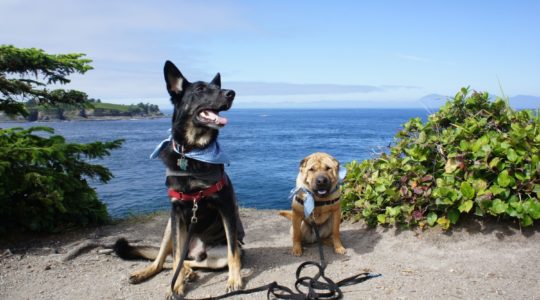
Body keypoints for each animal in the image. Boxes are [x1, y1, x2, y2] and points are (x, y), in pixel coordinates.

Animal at [117, 61, 246, 298]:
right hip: (170, 226)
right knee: (167, 259)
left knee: (194, 262)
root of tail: (196, 250)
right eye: (200, 89)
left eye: (217, 87)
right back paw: (154, 273)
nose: (231, 93)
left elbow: (234, 253)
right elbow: (175, 256)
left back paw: (190, 272)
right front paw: (175, 286)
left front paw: (234, 280)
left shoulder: (226, 208)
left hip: (214, 255)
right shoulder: (176, 212)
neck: (192, 152)